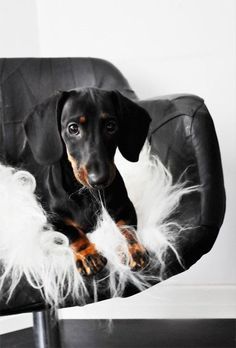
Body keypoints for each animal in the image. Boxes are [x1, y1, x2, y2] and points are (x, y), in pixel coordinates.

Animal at [23, 87, 151, 278]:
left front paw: (133, 250)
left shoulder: (126, 207)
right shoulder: (52, 219)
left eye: (111, 126)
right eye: (73, 128)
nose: (99, 180)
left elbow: (128, 229)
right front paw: (89, 256)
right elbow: (73, 233)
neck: (88, 194)